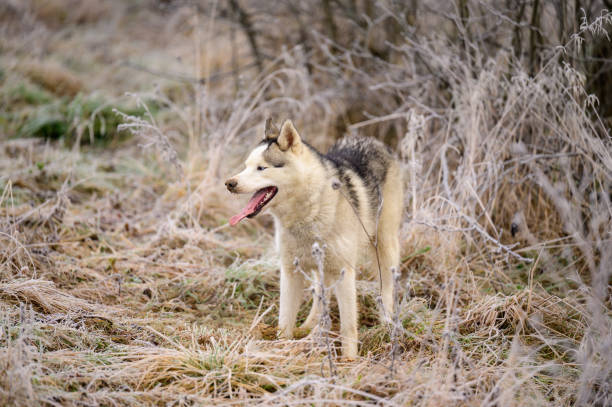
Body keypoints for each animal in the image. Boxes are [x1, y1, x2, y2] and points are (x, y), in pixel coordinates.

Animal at [225, 119, 402, 358]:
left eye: (261, 168)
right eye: (245, 166)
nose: (229, 183)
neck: (308, 214)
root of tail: (372, 141)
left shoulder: (345, 272)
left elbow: (348, 326)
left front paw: (349, 360)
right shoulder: (289, 272)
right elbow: (285, 321)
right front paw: (281, 348)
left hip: (385, 247)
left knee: (386, 290)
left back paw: (387, 323)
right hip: (321, 266)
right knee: (320, 292)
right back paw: (310, 325)